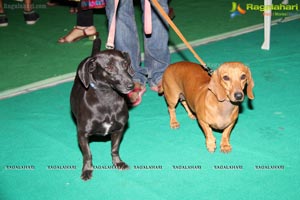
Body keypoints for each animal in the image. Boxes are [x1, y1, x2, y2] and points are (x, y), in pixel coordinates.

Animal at [70, 38, 134, 181]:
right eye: (109, 68)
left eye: (125, 64)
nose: (131, 85)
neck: (107, 99)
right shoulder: (82, 135)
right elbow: (87, 154)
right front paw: (87, 170)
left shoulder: (118, 130)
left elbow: (114, 149)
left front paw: (118, 163)